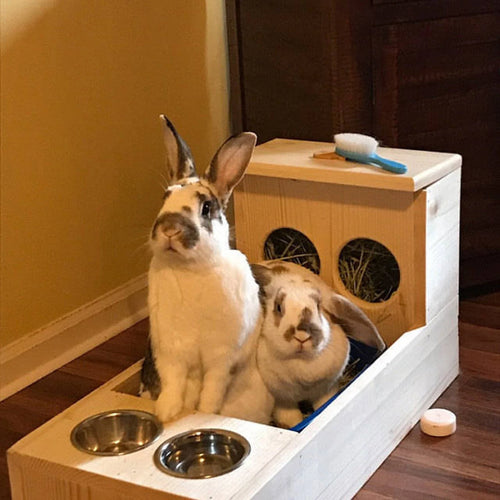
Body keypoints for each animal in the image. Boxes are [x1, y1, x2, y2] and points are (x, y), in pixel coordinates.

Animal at [140, 116, 274, 422]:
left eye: (206, 207)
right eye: (164, 198)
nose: (170, 229)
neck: (192, 269)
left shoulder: (222, 357)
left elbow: (214, 386)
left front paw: (205, 411)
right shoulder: (171, 353)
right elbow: (173, 382)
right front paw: (167, 412)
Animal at [252, 260, 384, 428]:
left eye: (319, 306)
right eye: (279, 307)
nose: (302, 336)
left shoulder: (327, 391)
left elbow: (323, 406)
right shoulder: (282, 402)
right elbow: (291, 421)